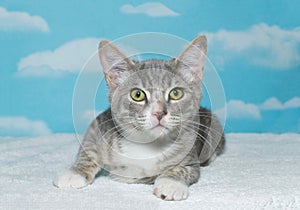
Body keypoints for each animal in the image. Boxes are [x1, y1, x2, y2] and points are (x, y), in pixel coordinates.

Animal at [53, 34, 225, 200]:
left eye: (176, 93)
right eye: (137, 95)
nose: (159, 112)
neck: (148, 144)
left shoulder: (190, 152)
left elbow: (185, 168)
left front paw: (171, 183)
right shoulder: (100, 124)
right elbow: (89, 149)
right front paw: (75, 173)